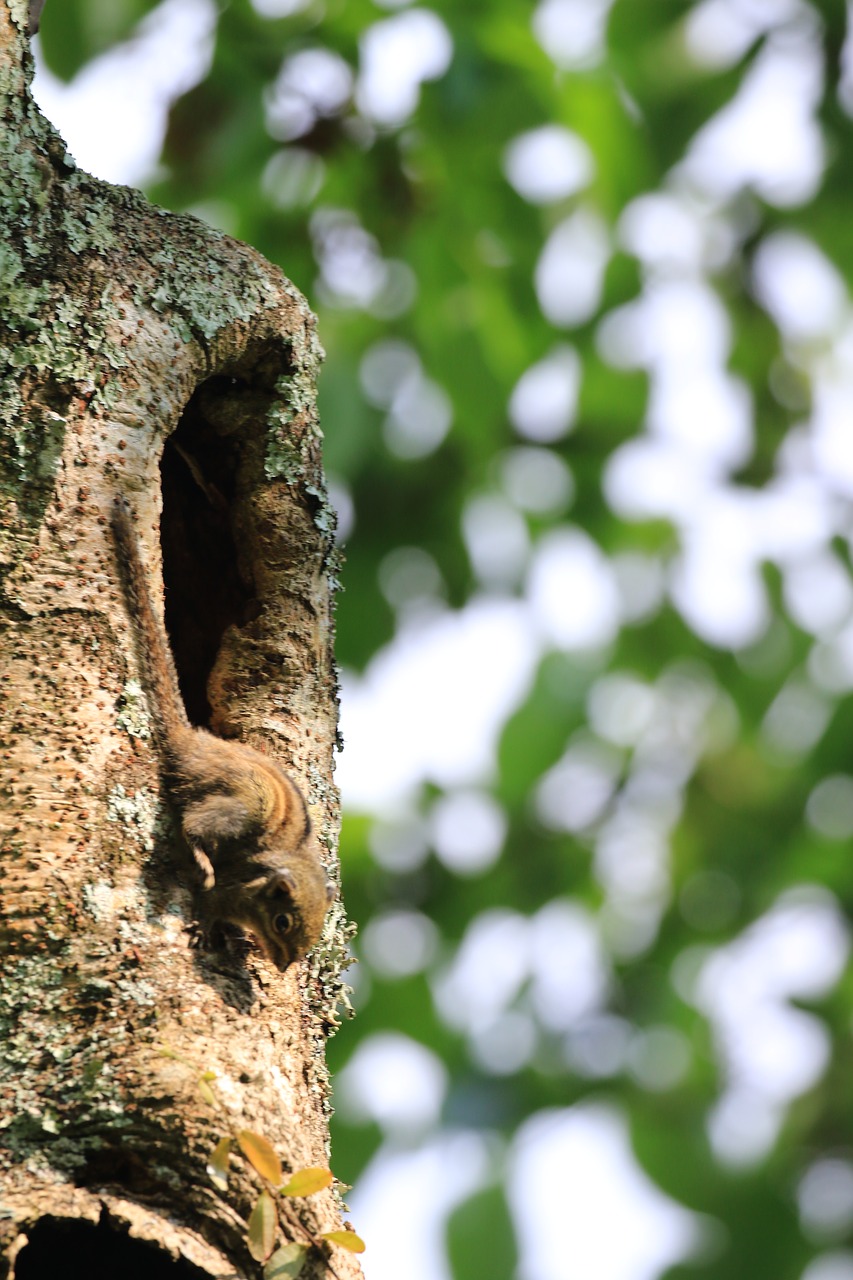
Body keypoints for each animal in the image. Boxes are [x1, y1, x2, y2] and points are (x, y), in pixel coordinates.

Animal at [106, 494, 333, 962]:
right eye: (282, 923)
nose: (285, 967)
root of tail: (193, 742)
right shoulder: (232, 890)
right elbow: (212, 903)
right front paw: (209, 927)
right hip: (244, 806)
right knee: (194, 824)